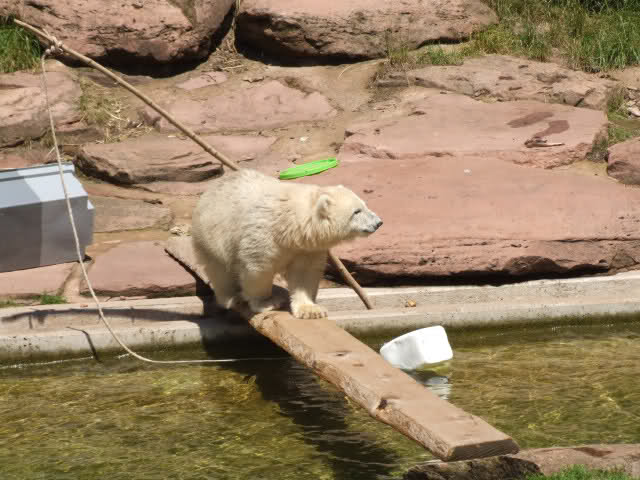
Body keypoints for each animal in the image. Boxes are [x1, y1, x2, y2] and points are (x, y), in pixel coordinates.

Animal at [191, 168, 383, 319]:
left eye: (365, 205)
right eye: (356, 211)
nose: (378, 222)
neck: (289, 224)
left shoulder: (307, 247)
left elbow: (305, 273)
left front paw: (311, 310)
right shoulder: (262, 235)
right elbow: (258, 269)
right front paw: (266, 302)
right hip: (211, 234)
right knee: (219, 270)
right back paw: (232, 297)